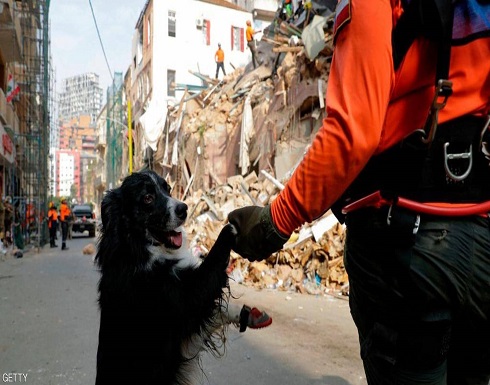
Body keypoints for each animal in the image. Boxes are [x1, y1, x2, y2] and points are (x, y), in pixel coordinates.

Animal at [95, 170, 235, 382]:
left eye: (167, 189)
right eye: (147, 198)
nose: (184, 209)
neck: (138, 248)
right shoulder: (187, 297)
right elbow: (213, 261)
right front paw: (231, 228)